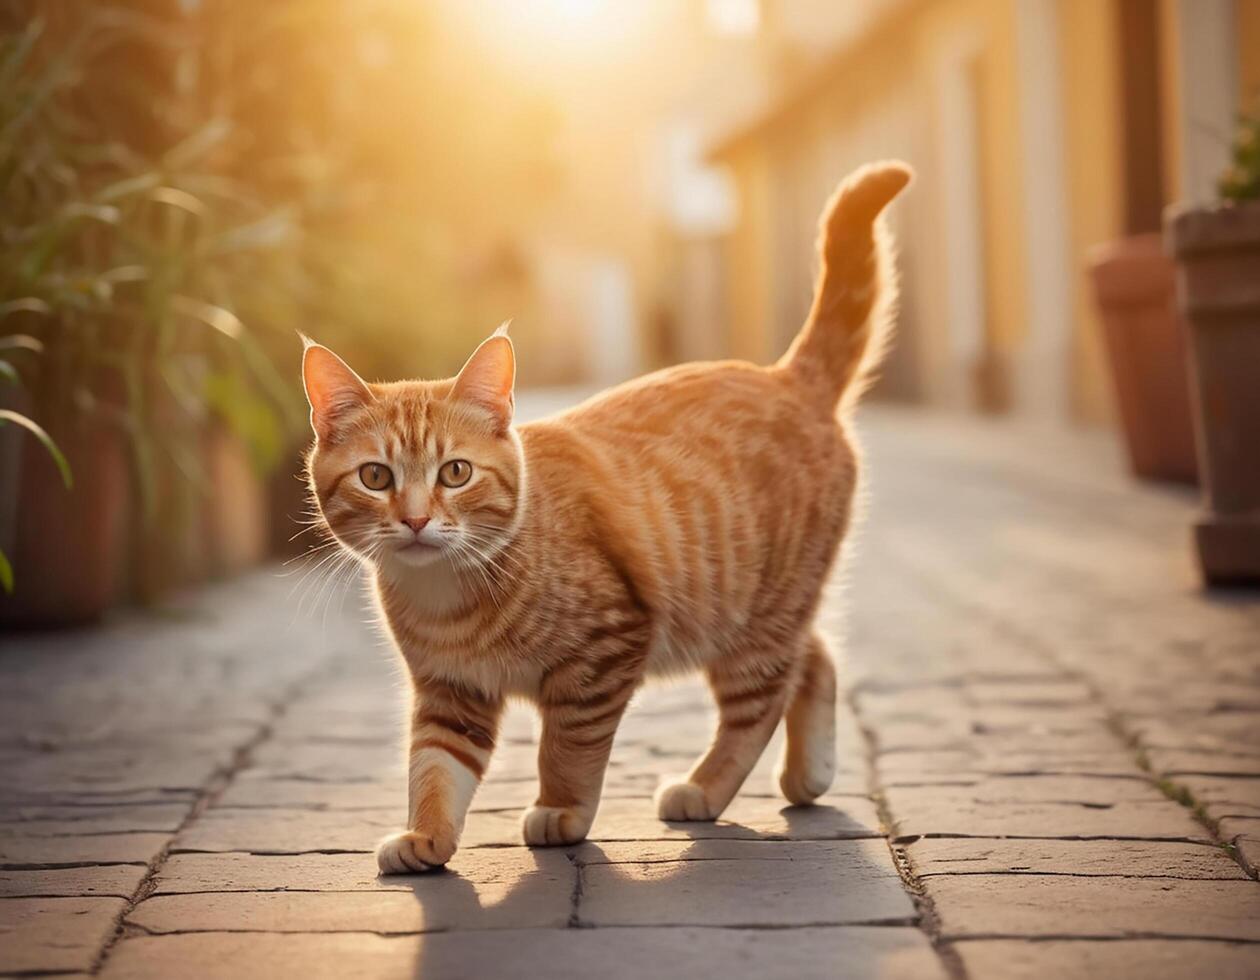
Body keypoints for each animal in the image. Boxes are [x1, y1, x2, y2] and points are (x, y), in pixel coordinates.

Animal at [299, 160, 912, 871]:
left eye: (455, 472)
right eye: (376, 477)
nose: (418, 520)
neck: (448, 595)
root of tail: (787, 376)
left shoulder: (603, 654)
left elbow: (568, 747)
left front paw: (562, 809)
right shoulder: (451, 692)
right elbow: (434, 768)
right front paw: (426, 834)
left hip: (747, 616)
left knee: (759, 704)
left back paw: (705, 787)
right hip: (759, 610)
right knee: (814, 655)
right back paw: (809, 772)